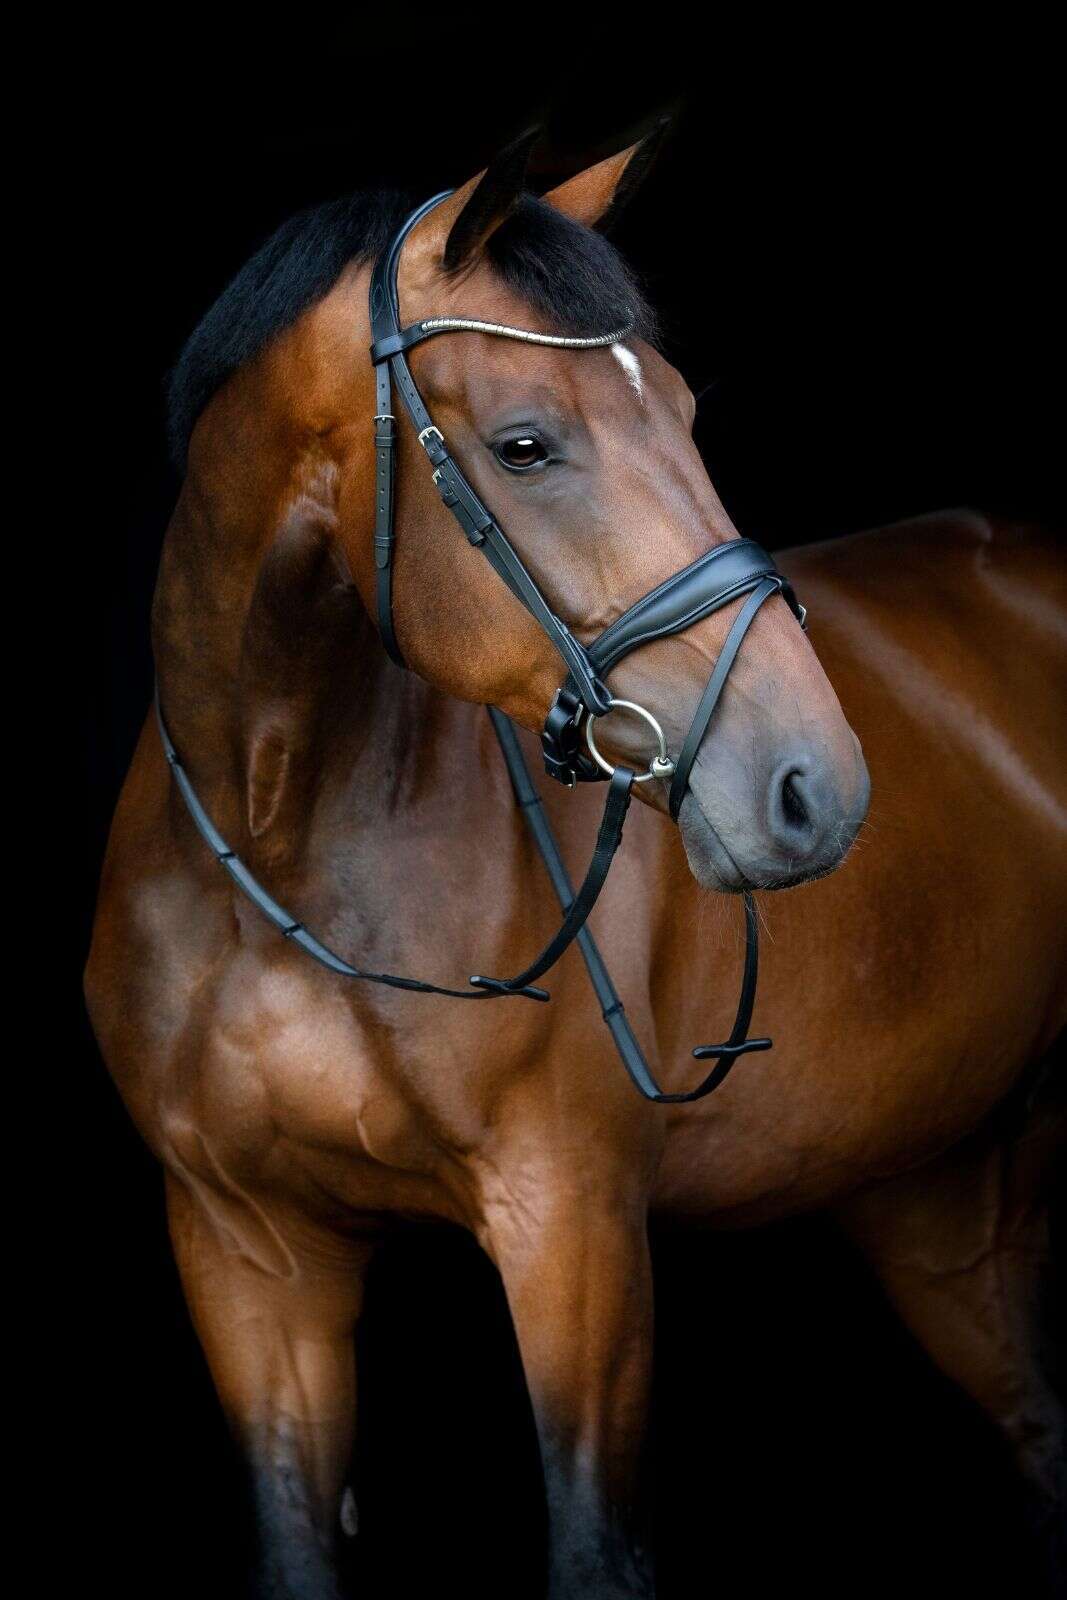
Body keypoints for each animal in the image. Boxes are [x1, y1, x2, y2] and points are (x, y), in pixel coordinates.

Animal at [85, 130, 1066, 1599]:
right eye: (524, 444)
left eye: (683, 412)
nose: (813, 788)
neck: (284, 843)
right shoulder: (247, 1255)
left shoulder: (575, 1237)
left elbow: (594, 1551)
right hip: (940, 1197)